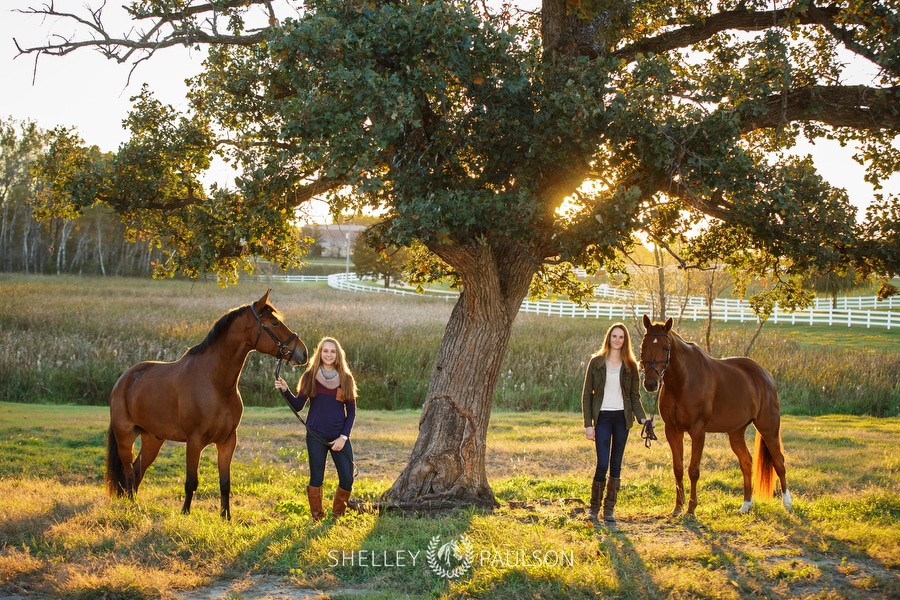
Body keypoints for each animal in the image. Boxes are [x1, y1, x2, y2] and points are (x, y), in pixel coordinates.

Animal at [105, 288, 308, 516]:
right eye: (274, 323)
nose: (303, 352)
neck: (215, 383)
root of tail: (124, 379)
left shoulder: (228, 441)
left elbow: (225, 482)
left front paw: (226, 516)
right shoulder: (194, 442)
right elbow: (191, 481)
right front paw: (185, 514)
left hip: (153, 439)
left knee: (137, 470)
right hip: (125, 437)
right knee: (128, 472)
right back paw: (130, 507)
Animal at [636, 314, 792, 516]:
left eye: (666, 348)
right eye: (644, 346)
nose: (651, 383)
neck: (683, 382)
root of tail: (765, 374)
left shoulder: (698, 431)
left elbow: (693, 470)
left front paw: (691, 508)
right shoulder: (673, 430)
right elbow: (678, 468)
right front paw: (677, 507)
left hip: (768, 428)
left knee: (779, 462)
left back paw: (787, 503)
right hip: (736, 432)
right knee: (746, 462)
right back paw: (746, 505)